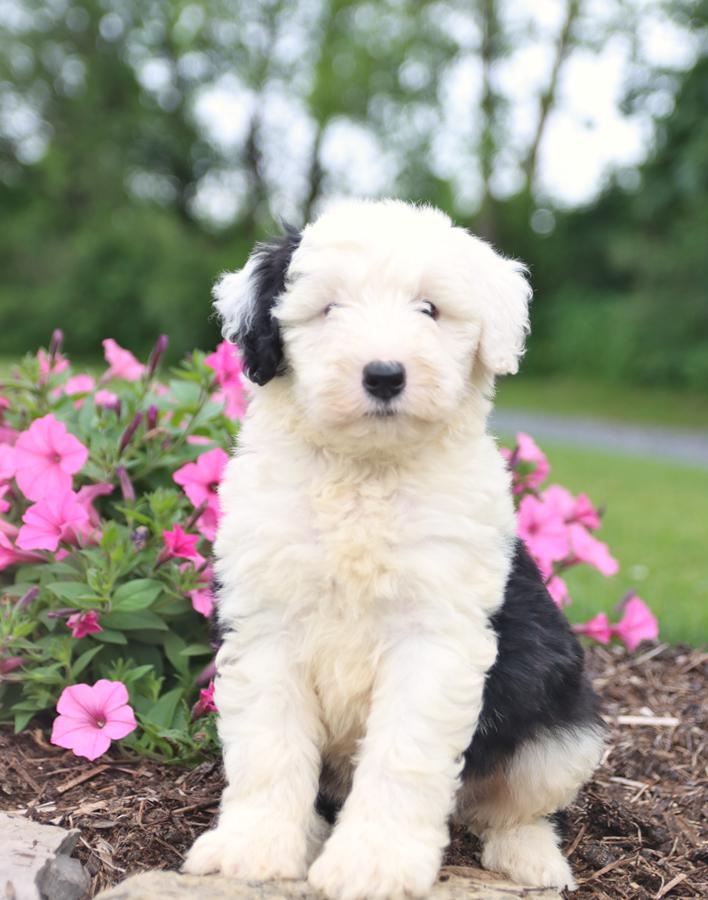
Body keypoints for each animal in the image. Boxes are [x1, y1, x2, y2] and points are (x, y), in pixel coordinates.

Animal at [183, 200, 604, 896]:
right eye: (328, 308)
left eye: (429, 309)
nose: (383, 375)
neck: (365, 476)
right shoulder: (267, 624)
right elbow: (270, 746)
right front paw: (254, 847)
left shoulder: (434, 637)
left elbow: (403, 755)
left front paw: (372, 863)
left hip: (561, 725)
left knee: (516, 805)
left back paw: (530, 858)